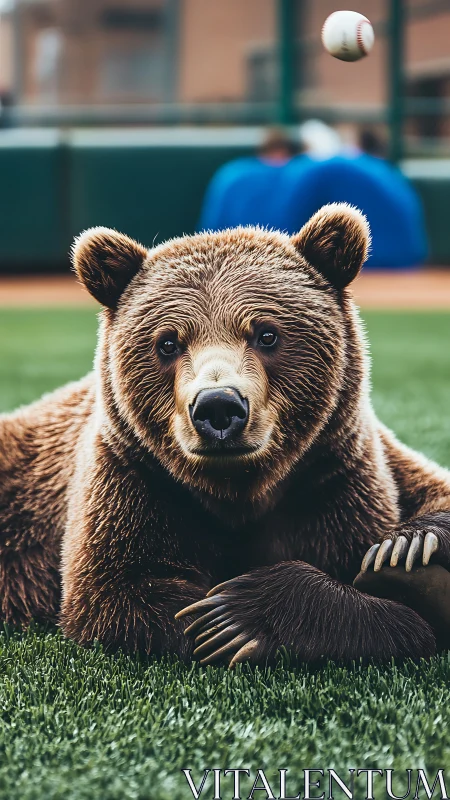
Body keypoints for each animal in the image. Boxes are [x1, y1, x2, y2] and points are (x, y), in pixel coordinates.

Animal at [1, 203, 450, 666]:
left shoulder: (335, 471)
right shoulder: (135, 481)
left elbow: (425, 490)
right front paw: (224, 618)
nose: (218, 406)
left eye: (267, 333)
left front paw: (407, 550)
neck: (238, 492)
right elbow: (121, 591)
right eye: (167, 342)